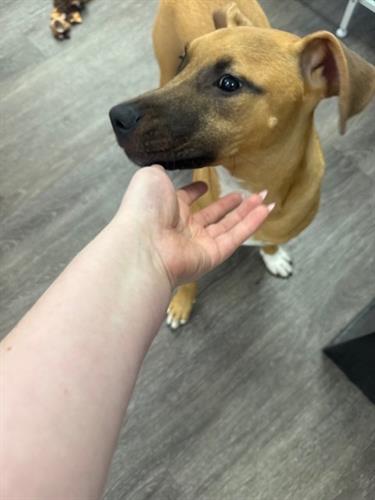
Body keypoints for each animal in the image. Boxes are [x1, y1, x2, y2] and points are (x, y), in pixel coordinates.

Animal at [109, 1, 375, 330]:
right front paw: (182, 302)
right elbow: (188, 277)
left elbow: (271, 241)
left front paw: (273, 256)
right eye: (185, 61)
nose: (116, 117)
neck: (247, 181)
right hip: (163, 65)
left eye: (229, 83)